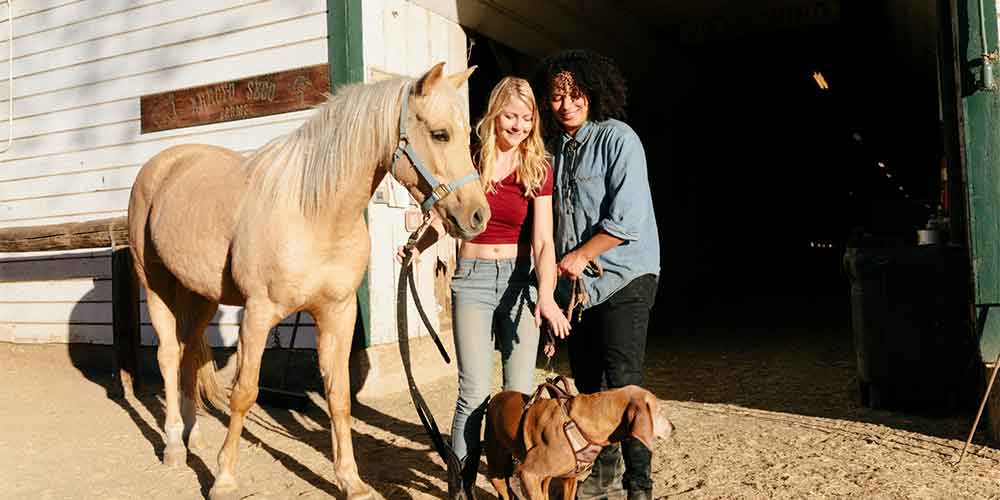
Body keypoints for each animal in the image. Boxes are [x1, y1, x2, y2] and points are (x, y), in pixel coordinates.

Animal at [129, 63, 488, 500]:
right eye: (440, 134)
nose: (478, 215)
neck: (314, 212)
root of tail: (163, 164)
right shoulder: (258, 313)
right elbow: (244, 393)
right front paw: (224, 478)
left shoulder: (337, 313)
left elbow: (339, 397)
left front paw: (351, 481)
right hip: (155, 283)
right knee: (167, 356)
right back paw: (174, 446)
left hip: (200, 296)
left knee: (188, 355)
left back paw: (193, 436)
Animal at [482, 384, 672, 498]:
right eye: (659, 411)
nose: (673, 427)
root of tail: (496, 397)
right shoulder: (528, 473)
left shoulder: (570, 478)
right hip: (497, 470)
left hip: (544, 476)